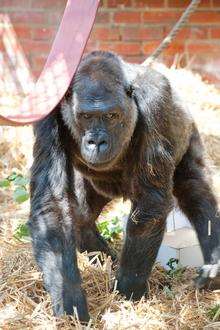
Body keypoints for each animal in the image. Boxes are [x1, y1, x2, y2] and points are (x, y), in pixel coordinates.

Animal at [28, 51, 220, 322]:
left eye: (111, 116)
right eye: (86, 117)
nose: (97, 141)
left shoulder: (156, 103)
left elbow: (150, 203)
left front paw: (127, 292)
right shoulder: (48, 111)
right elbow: (52, 204)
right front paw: (68, 298)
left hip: (189, 130)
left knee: (194, 190)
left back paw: (214, 263)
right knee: (82, 216)